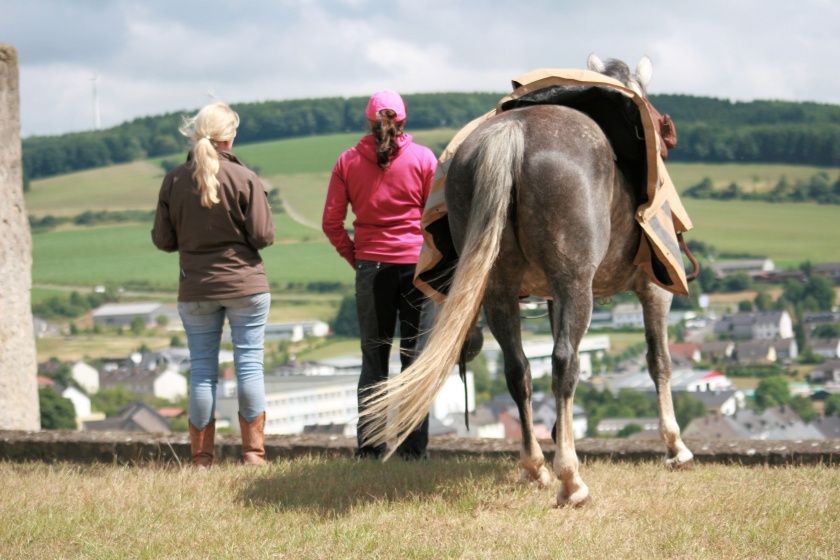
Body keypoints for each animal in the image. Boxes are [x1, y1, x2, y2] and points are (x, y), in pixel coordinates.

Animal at [360, 57, 696, 508]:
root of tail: (513, 135)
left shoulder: (551, 297)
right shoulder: (653, 290)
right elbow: (658, 361)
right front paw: (675, 447)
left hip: (498, 291)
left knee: (518, 368)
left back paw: (536, 466)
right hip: (575, 286)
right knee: (563, 362)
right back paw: (570, 480)